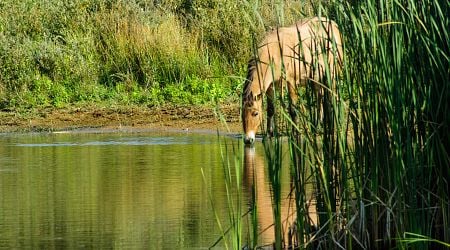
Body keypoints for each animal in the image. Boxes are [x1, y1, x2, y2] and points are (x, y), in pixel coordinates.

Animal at [243, 17, 342, 145]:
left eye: (255, 113)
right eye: (242, 113)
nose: (248, 140)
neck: (275, 51)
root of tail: (333, 24)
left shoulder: (291, 83)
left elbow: (293, 109)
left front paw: (296, 133)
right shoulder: (271, 86)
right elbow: (270, 109)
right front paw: (269, 133)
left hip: (332, 76)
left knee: (333, 97)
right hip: (316, 80)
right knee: (319, 98)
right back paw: (318, 125)